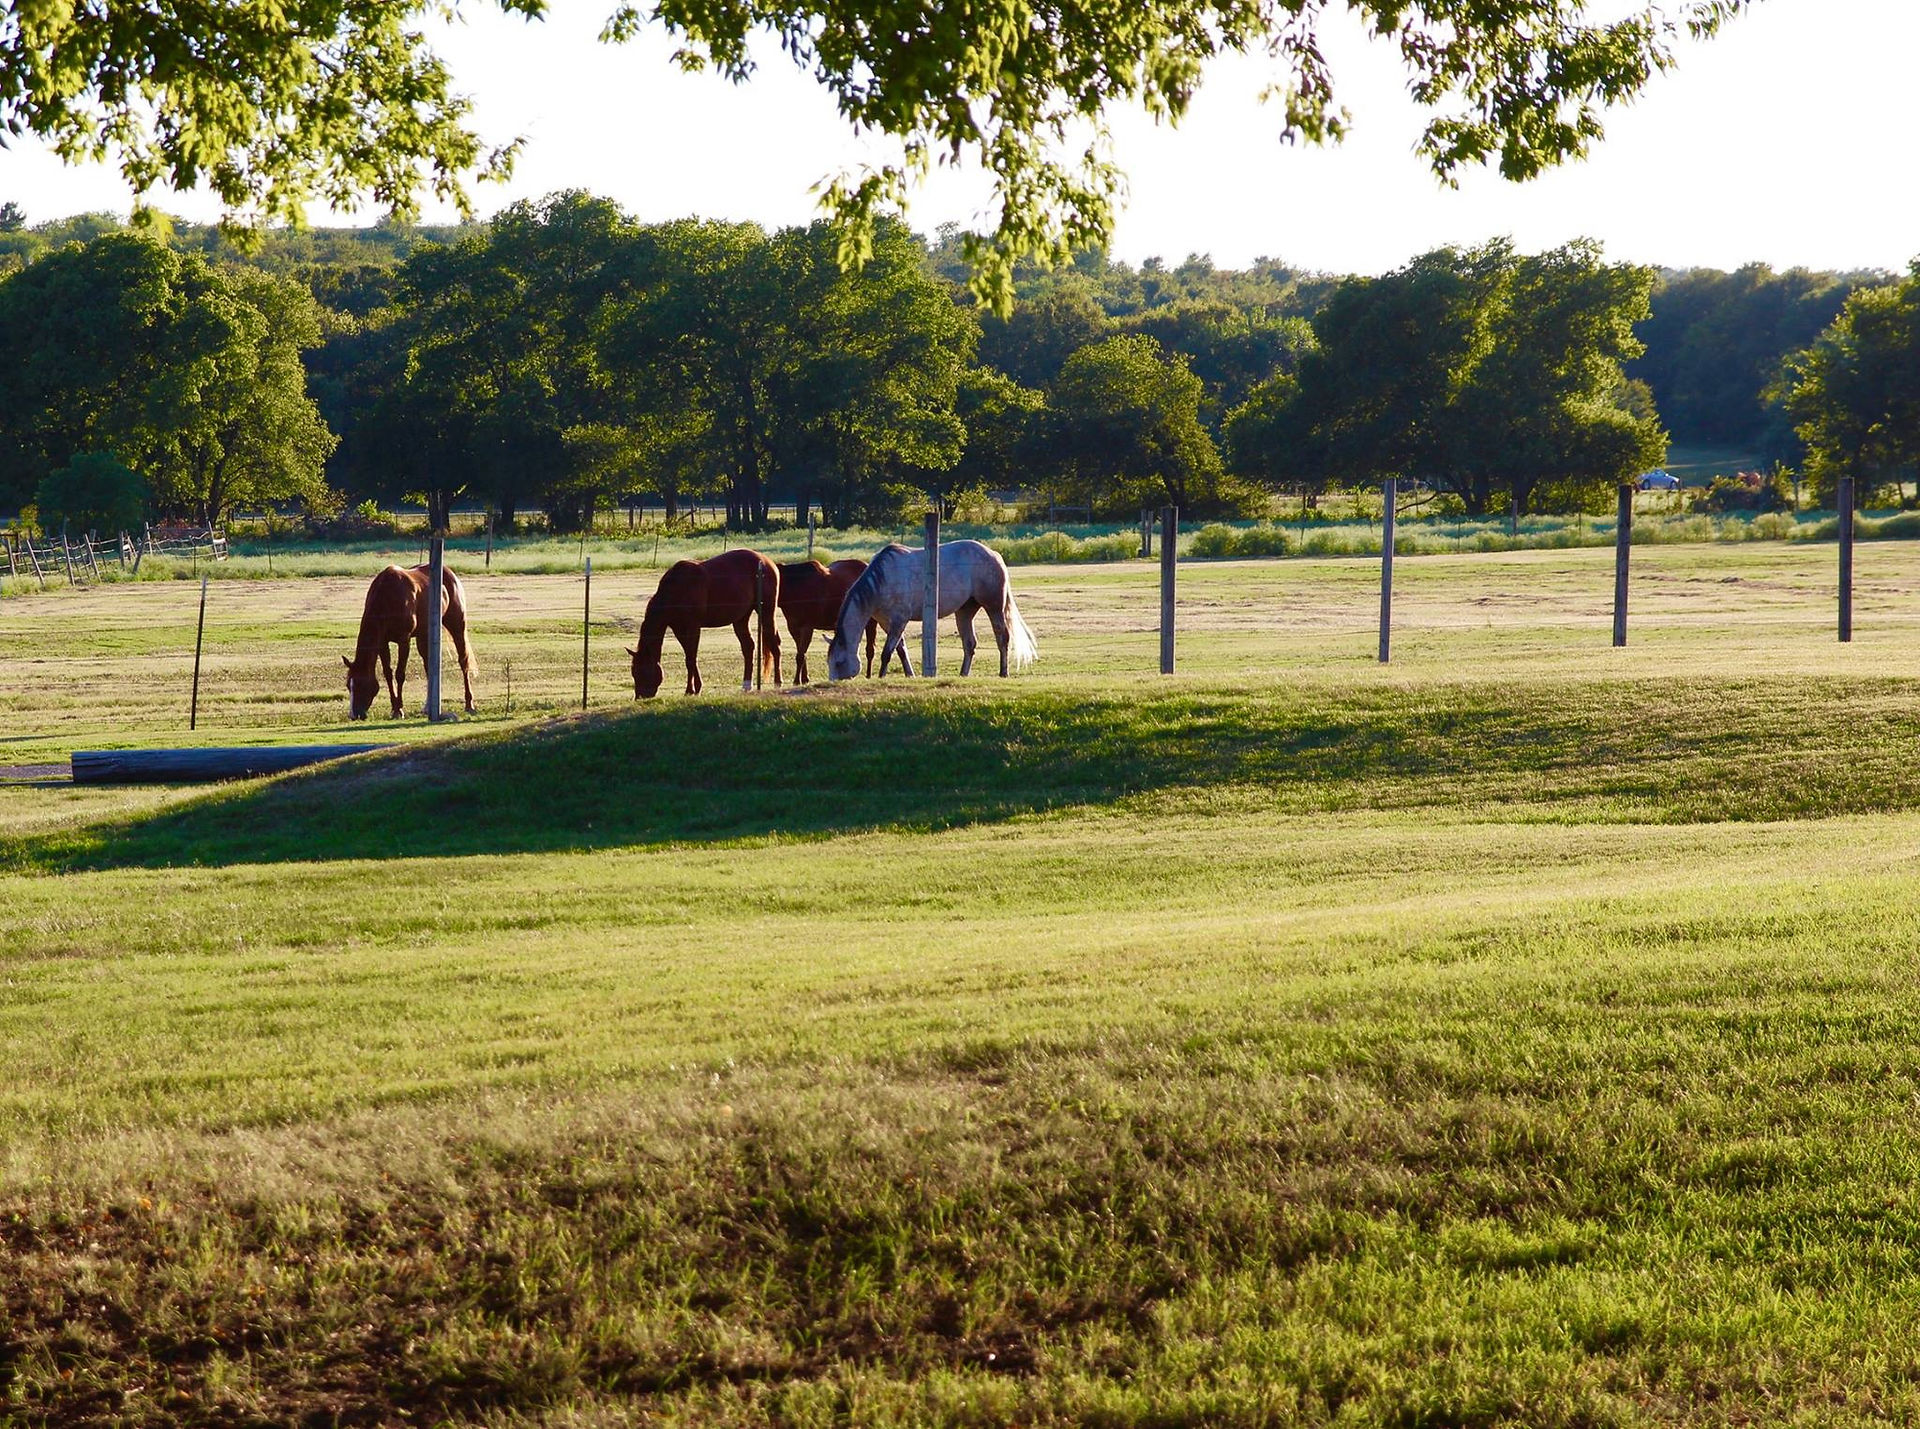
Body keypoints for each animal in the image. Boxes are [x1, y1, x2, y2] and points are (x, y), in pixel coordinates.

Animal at [343, 564, 478, 719]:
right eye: (348, 685)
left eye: (361, 684)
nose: (353, 715)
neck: (387, 598)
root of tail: (450, 573)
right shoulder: (383, 643)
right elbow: (388, 674)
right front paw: (394, 707)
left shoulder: (404, 640)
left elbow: (399, 674)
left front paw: (399, 710)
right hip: (424, 635)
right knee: (429, 666)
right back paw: (428, 707)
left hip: (457, 626)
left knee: (463, 662)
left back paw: (469, 704)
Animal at [630, 548, 781, 698]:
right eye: (634, 672)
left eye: (643, 671)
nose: (640, 696)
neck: (678, 587)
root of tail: (767, 561)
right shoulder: (679, 630)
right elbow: (689, 656)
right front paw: (694, 688)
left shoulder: (693, 627)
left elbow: (691, 658)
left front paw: (691, 690)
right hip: (741, 619)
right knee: (748, 647)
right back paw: (747, 685)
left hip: (766, 612)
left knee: (774, 644)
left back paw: (778, 683)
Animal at [826, 540, 1037, 680]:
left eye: (839, 662)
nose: (834, 682)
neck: (882, 580)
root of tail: (993, 554)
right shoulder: (887, 622)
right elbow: (901, 649)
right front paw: (909, 675)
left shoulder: (899, 620)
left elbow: (888, 652)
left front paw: (881, 677)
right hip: (965, 611)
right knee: (970, 643)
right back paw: (963, 674)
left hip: (993, 607)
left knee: (1002, 637)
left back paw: (1003, 672)